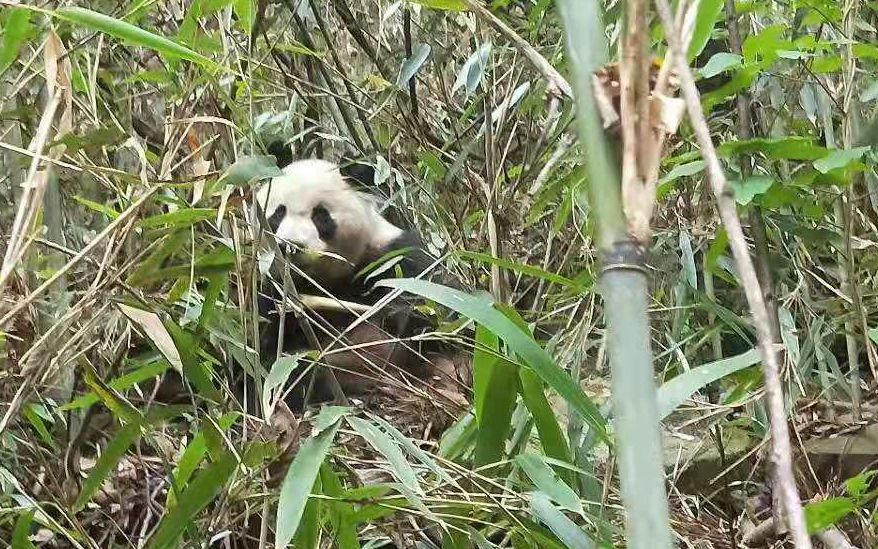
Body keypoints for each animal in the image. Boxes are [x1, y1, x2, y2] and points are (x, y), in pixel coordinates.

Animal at [253, 143, 446, 408]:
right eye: (278, 214)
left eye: (320, 215)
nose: (290, 246)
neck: (325, 282)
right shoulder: (275, 294)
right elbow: (268, 361)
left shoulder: (394, 259)